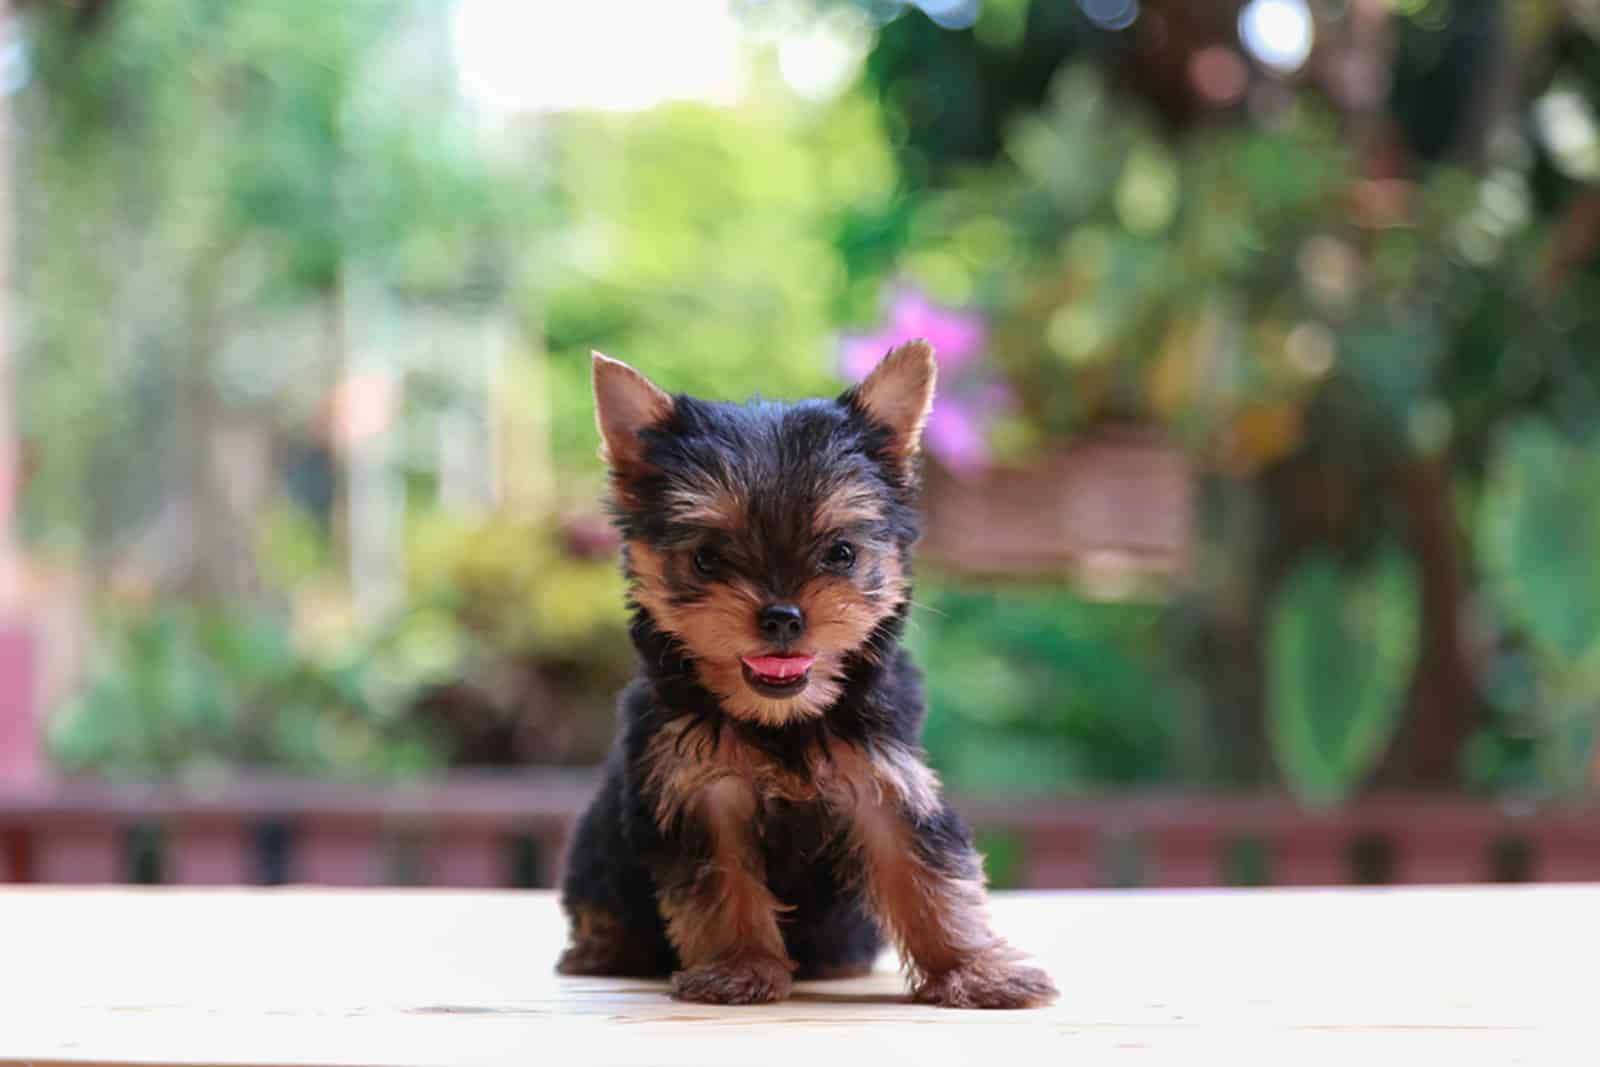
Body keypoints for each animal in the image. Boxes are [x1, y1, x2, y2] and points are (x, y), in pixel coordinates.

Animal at [556, 342, 1056, 1011]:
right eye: (707, 559)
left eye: (841, 554)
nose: (782, 616)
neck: (783, 719)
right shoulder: (704, 789)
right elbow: (723, 883)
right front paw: (740, 967)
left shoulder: (884, 777)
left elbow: (929, 873)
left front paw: (974, 970)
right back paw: (603, 950)